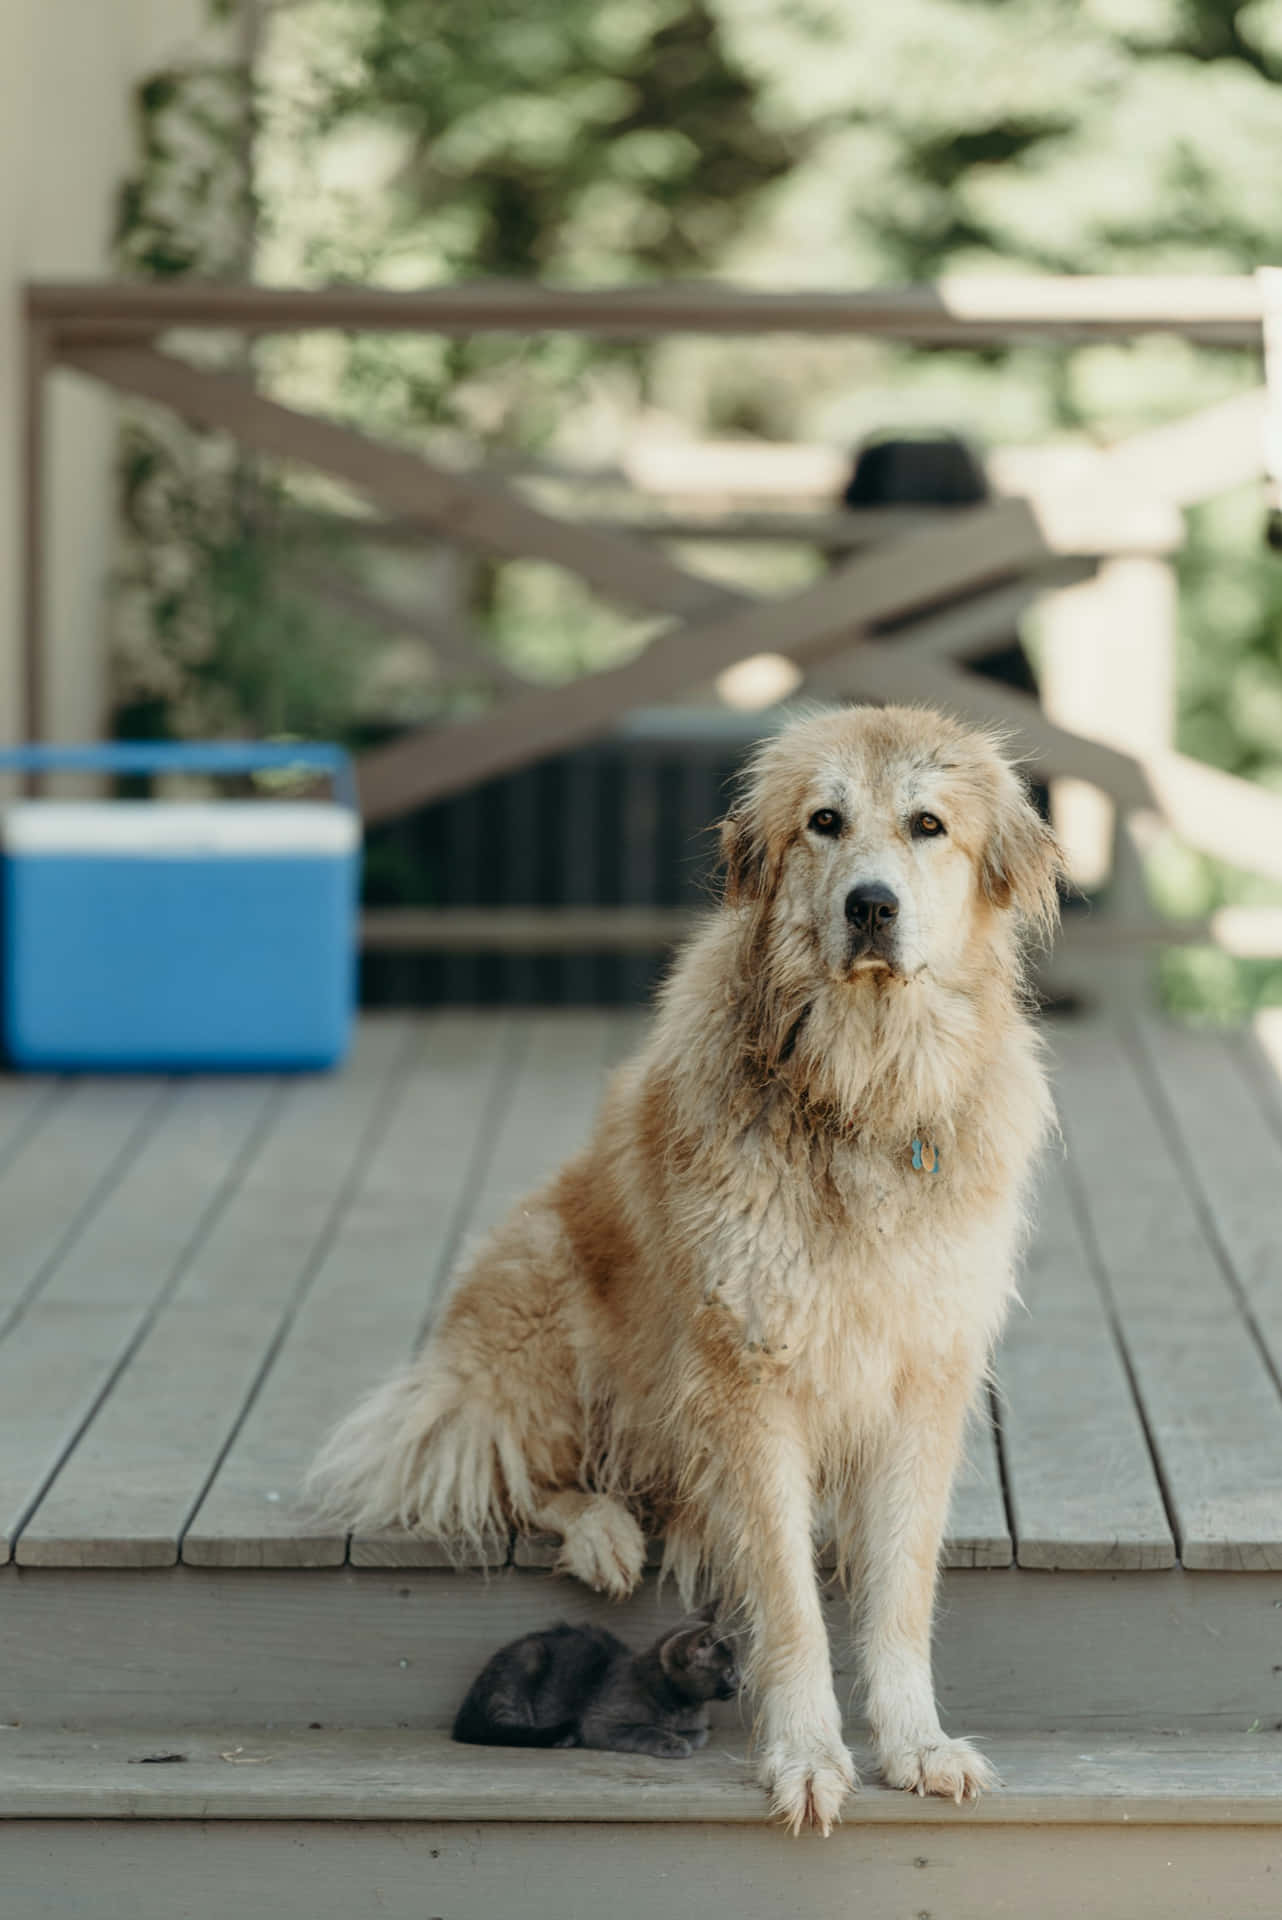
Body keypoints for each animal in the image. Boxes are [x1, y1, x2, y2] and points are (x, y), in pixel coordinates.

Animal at [454, 1605, 744, 1758]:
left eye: (739, 1667)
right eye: (730, 1670)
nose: (743, 1683)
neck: (680, 1706)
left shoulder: (699, 1726)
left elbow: (699, 1734)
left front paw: (681, 1737)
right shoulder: (600, 1721)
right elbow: (643, 1730)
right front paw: (671, 1742)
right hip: (527, 1659)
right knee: (507, 1730)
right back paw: (559, 1738)